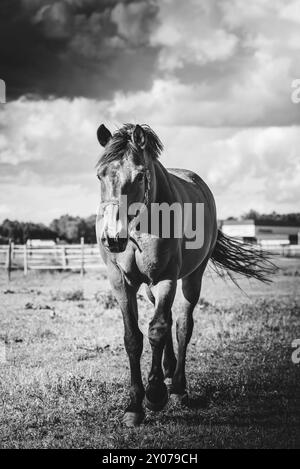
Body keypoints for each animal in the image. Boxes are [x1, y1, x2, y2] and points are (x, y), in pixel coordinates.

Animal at [95, 122, 274, 426]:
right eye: (100, 174)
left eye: (140, 176)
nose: (112, 237)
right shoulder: (121, 283)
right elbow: (133, 338)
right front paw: (134, 406)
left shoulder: (166, 278)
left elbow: (157, 330)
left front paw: (154, 395)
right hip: (149, 288)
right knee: (166, 320)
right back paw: (168, 371)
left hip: (192, 279)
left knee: (181, 325)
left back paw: (177, 387)